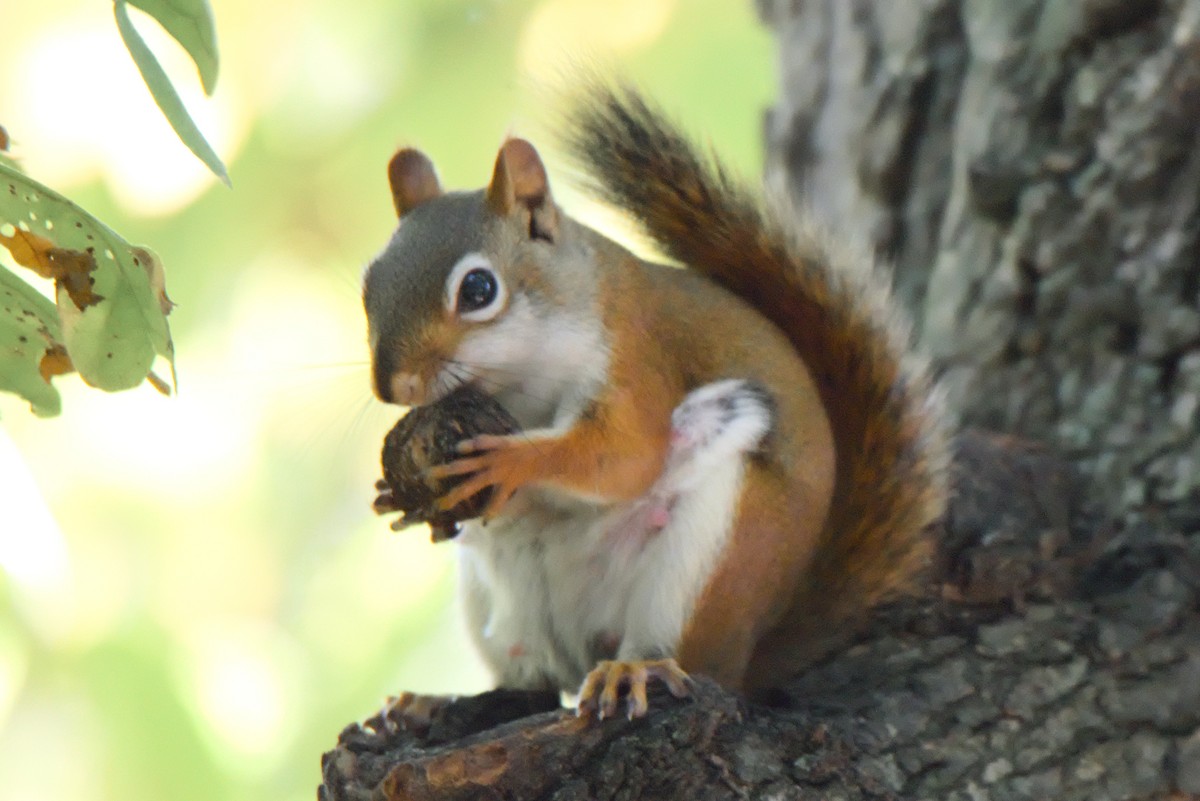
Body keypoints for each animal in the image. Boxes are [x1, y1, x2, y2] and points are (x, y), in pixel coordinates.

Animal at [363, 81, 949, 720]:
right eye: (369, 284)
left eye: (478, 289)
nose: (394, 387)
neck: (519, 379)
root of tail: (749, 653)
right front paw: (393, 491)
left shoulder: (638, 365)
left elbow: (625, 456)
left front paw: (509, 461)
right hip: (493, 597)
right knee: (531, 685)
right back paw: (433, 703)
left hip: (706, 560)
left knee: (673, 651)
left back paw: (633, 669)